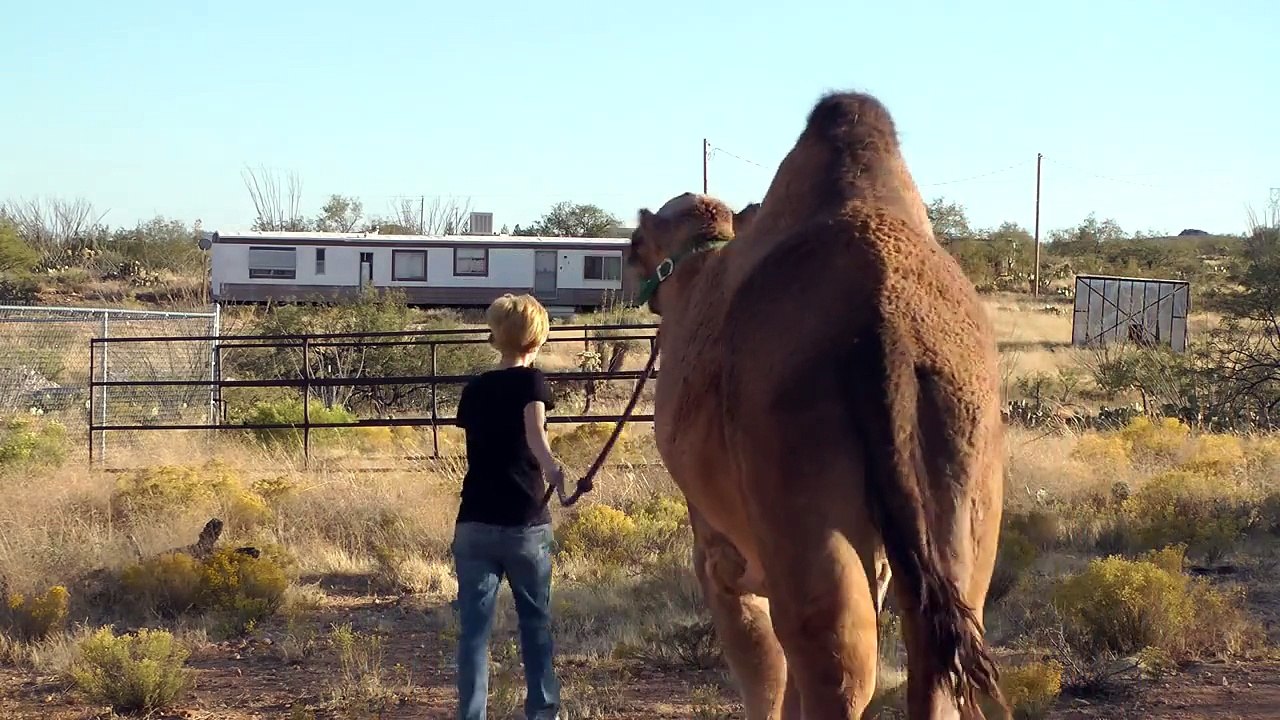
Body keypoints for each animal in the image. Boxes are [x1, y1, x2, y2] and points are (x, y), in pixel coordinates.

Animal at [626, 91, 1007, 719]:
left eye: (635, 246)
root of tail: (885, 329)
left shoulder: (718, 551)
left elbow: (764, 672)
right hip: (964, 443)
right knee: (933, 651)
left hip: (791, 452)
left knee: (834, 656)